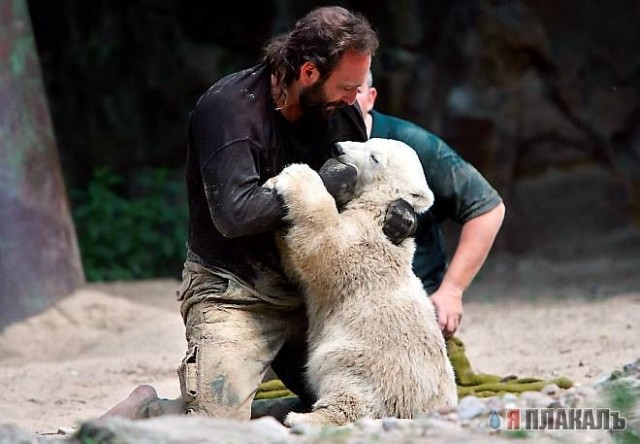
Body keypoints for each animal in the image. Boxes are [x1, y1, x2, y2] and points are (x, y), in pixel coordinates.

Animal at [268, 138, 458, 426]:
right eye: (368, 141)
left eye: (374, 157)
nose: (337, 147)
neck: (377, 205)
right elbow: (296, 260)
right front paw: (272, 182)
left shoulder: (368, 245)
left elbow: (327, 248)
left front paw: (296, 175)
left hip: (368, 364)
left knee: (351, 393)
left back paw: (302, 418)